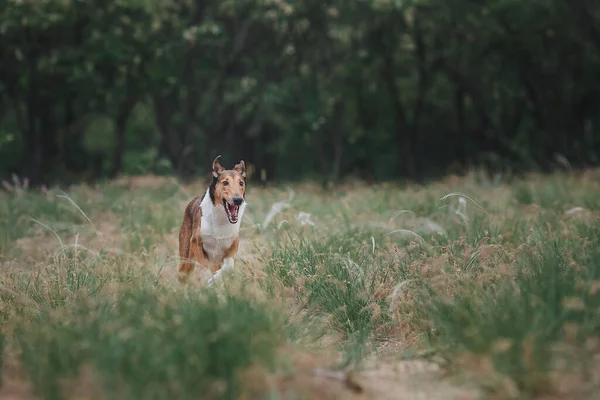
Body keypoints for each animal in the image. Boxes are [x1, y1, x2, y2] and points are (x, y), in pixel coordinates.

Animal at [177, 155, 247, 284]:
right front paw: (210, 280)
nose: (238, 200)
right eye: (225, 182)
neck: (221, 219)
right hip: (186, 257)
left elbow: (228, 266)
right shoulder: (195, 242)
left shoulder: (233, 243)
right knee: (182, 274)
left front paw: (216, 279)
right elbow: (206, 264)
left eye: (241, 183)